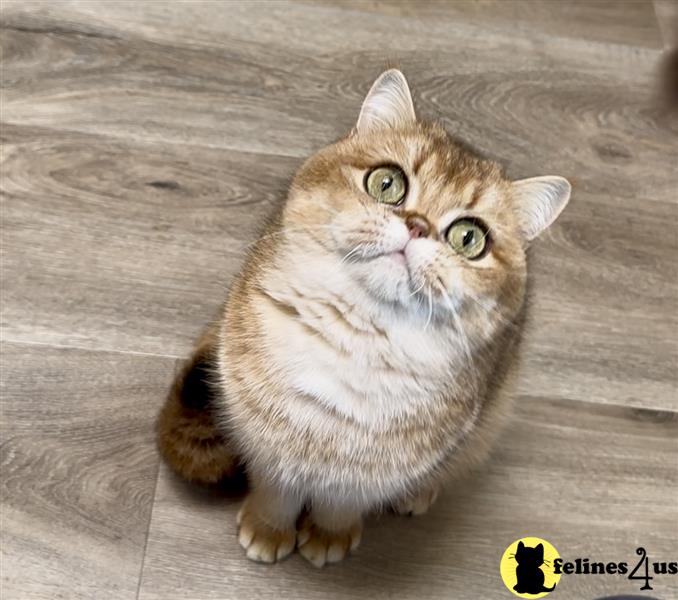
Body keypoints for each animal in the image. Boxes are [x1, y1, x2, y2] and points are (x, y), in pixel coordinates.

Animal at [155, 70, 572, 568]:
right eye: (386, 183)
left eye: (469, 238)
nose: (417, 226)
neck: (356, 338)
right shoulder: (261, 432)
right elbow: (276, 487)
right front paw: (268, 528)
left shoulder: (374, 471)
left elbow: (343, 501)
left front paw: (328, 535)